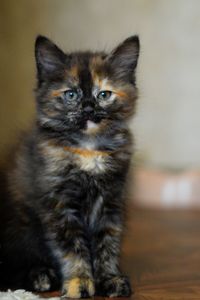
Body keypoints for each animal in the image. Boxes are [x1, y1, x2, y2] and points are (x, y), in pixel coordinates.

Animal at [0, 35, 140, 298]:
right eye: (71, 94)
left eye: (103, 94)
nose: (88, 108)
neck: (88, 148)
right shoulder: (59, 205)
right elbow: (73, 249)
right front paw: (79, 283)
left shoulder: (111, 202)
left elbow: (107, 244)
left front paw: (109, 279)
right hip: (20, 230)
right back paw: (41, 277)